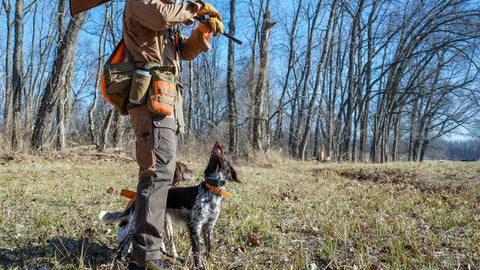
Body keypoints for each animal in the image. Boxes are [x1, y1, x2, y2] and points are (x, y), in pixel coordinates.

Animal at [100, 142, 238, 268]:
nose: (218, 143)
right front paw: (198, 266)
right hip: (135, 225)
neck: (212, 190)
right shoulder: (195, 226)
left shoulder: (208, 226)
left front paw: (209, 263)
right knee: (123, 244)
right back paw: (118, 260)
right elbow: (197, 251)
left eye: (225, 154)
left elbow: (209, 248)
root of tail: (136, 198)